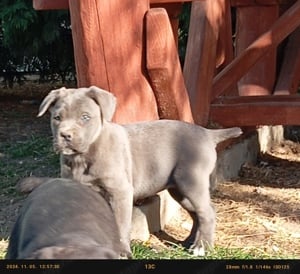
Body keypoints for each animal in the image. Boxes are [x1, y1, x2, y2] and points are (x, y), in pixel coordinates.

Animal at [37, 85, 244, 256]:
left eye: (85, 117)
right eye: (57, 118)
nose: (65, 135)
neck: (84, 156)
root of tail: (207, 133)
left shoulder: (120, 192)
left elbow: (120, 225)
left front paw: (122, 252)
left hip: (191, 181)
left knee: (207, 213)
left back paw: (202, 247)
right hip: (179, 189)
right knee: (196, 214)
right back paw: (188, 242)